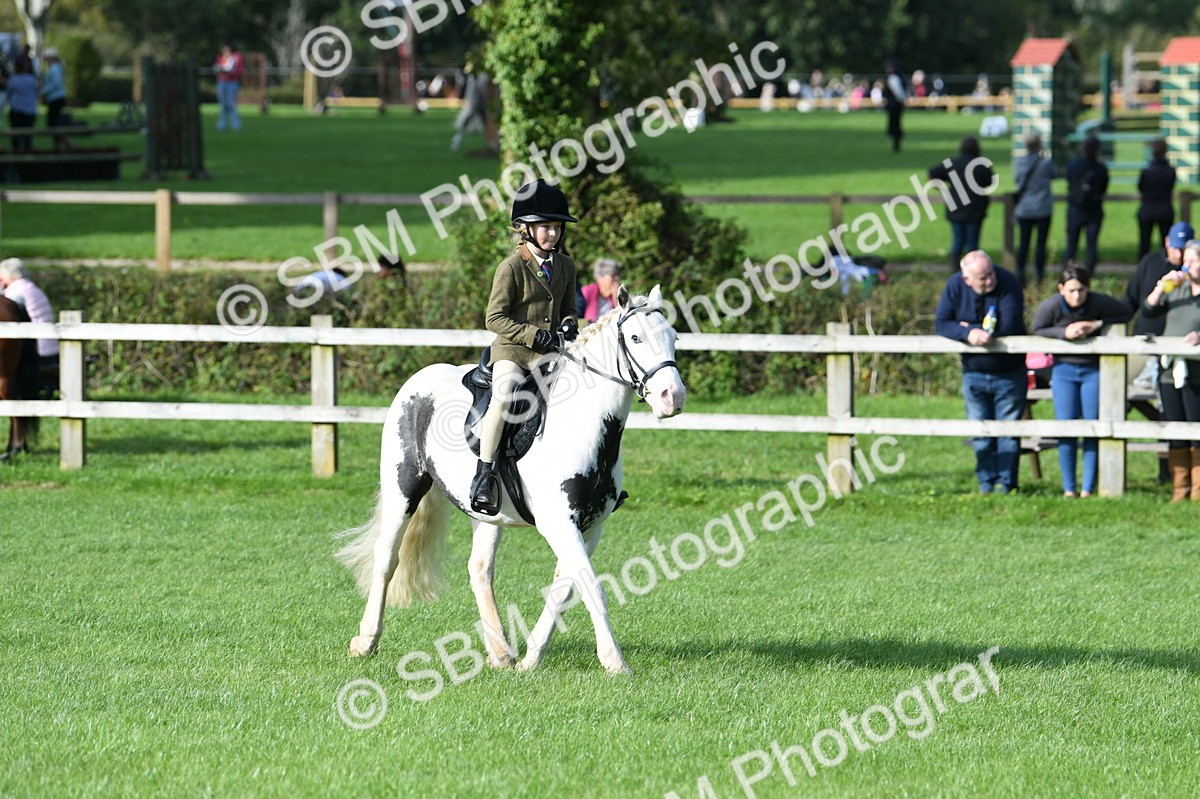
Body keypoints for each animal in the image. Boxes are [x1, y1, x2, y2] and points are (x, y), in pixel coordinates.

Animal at [337, 285, 686, 674]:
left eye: (673, 338)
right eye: (636, 338)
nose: (673, 398)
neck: (583, 424)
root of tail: (421, 378)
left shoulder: (590, 527)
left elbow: (564, 589)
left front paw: (531, 657)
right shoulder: (559, 523)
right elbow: (592, 588)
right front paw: (614, 662)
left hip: (486, 513)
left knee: (479, 570)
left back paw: (501, 652)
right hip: (404, 488)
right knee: (386, 557)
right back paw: (365, 641)